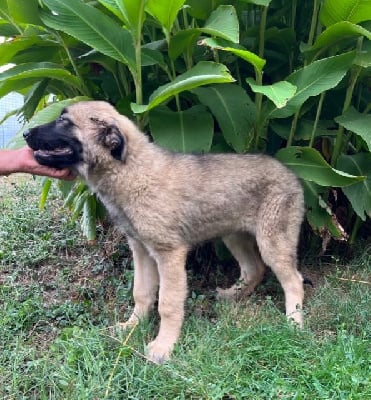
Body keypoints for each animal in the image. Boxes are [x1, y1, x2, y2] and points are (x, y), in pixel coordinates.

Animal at [24, 100, 306, 362]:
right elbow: (141, 292)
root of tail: (292, 175)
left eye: (64, 122)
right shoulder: (141, 249)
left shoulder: (169, 253)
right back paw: (233, 296)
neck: (130, 171)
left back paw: (294, 321)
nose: (25, 133)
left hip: (272, 240)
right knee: (253, 268)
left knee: (293, 279)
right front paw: (132, 326)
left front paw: (163, 346)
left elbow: (168, 303)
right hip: (233, 235)